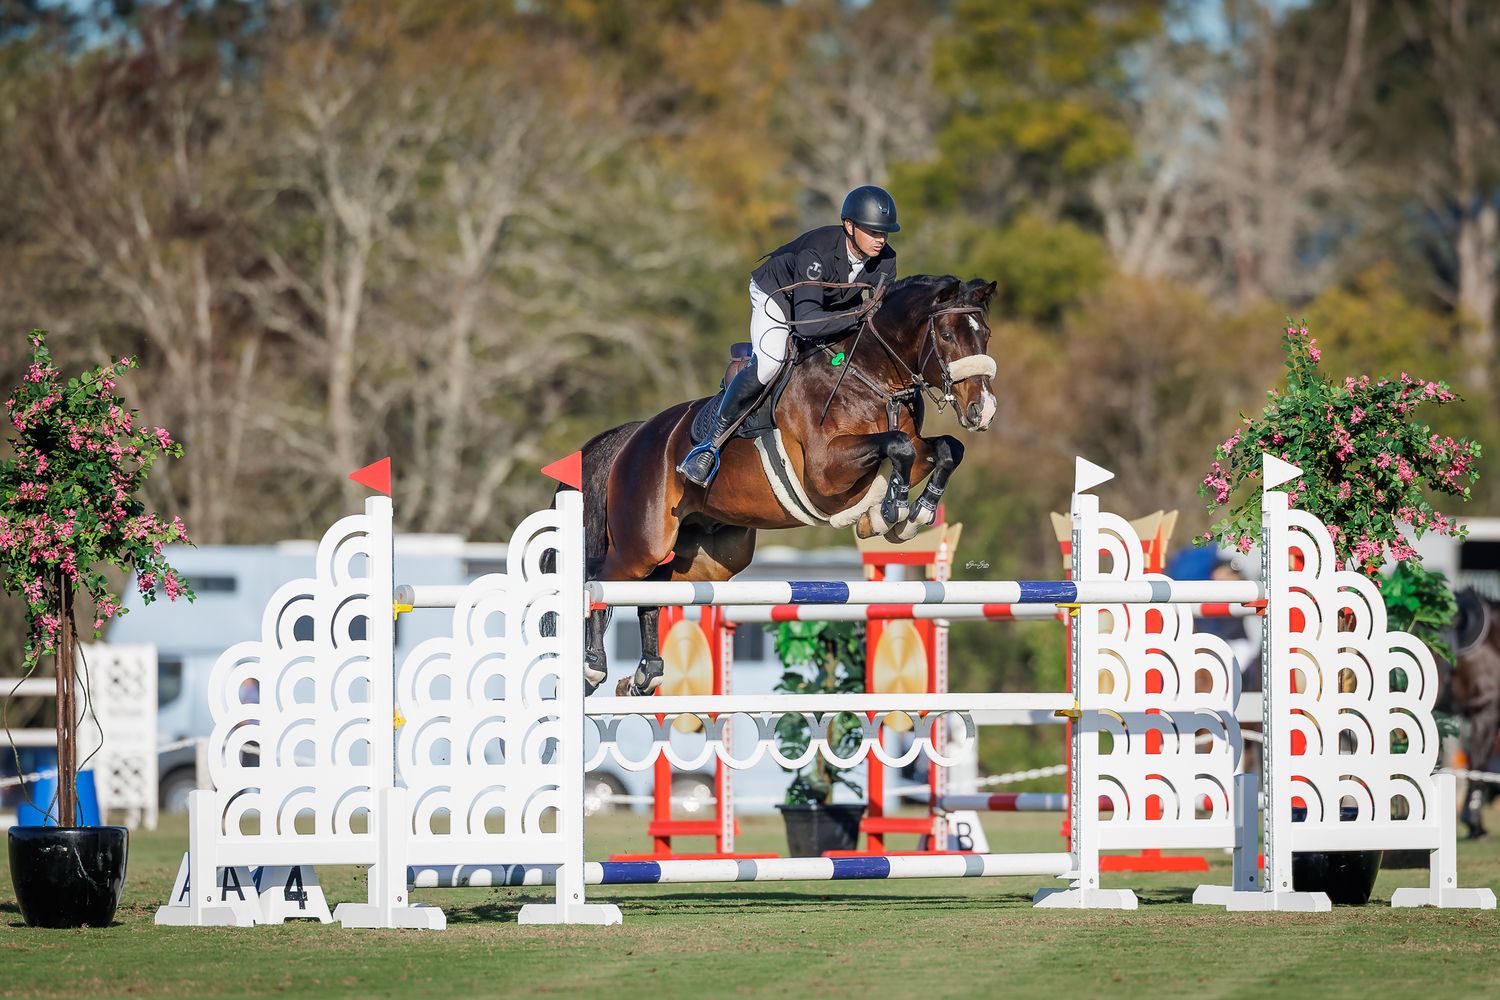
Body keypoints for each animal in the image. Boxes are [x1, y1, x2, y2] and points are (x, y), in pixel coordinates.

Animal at [566, 274, 998, 697]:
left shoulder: (911, 448)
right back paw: (592, 666)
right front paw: (891, 509)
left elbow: (946, 449)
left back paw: (645, 673)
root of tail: (634, 436)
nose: (983, 411)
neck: (873, 379)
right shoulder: (826, 469)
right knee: (599, 580)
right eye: (946, 335)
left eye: (986, 335)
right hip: (644, 543)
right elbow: (898, 446)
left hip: (712, 560)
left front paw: (915, 512)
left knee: (654, 591)